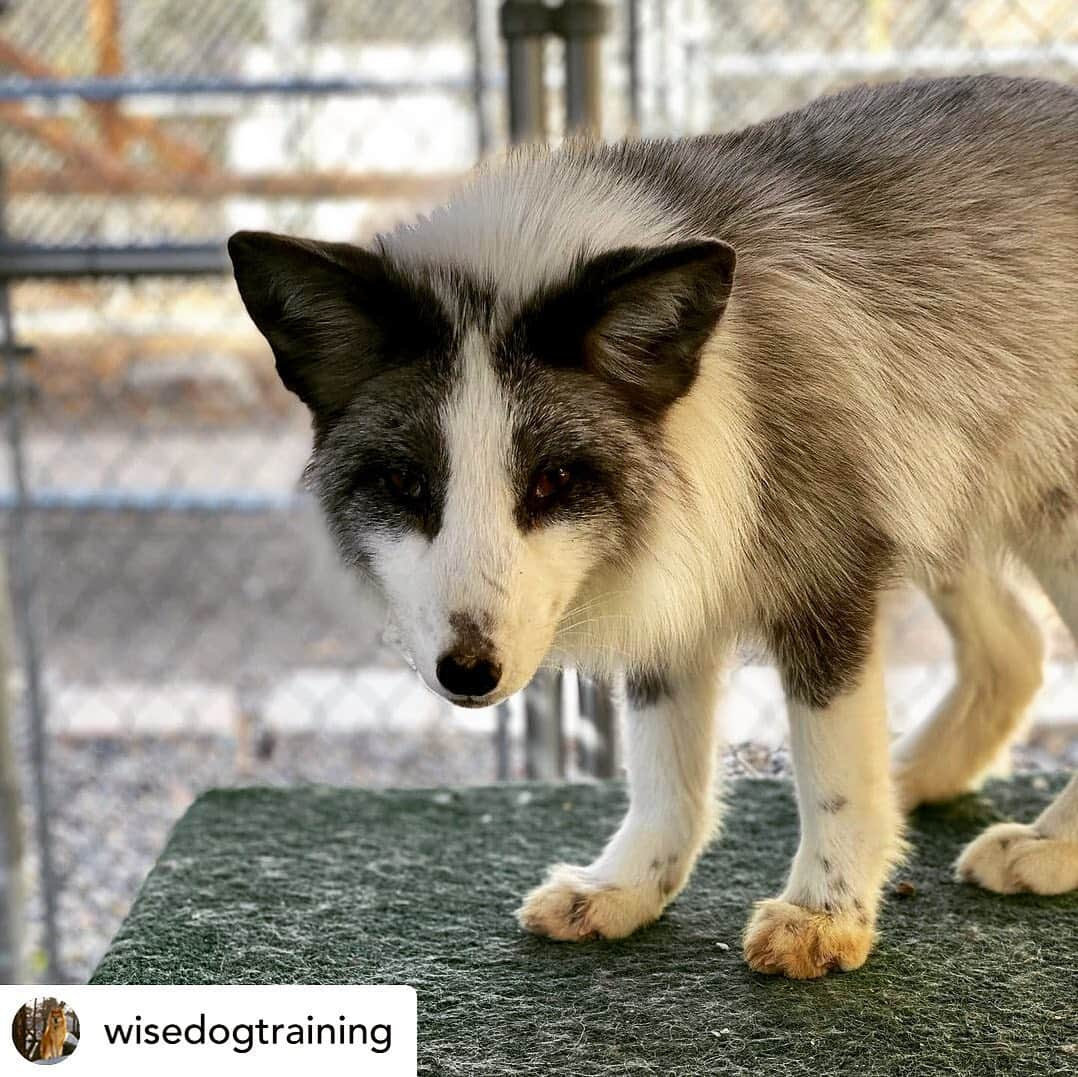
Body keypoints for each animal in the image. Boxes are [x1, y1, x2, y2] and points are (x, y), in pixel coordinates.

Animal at [231, 78, 1078, 978]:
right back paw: (914, 782)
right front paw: (626, 888)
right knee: (1017, 648)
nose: (468, 673)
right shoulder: (674, 579)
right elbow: (663, 768)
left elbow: (834, 772)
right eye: (404, 482)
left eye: (553, 480)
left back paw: (1046, 844)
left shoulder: (828, 572)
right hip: (943, 487)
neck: (724, 384)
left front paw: (825, 914)